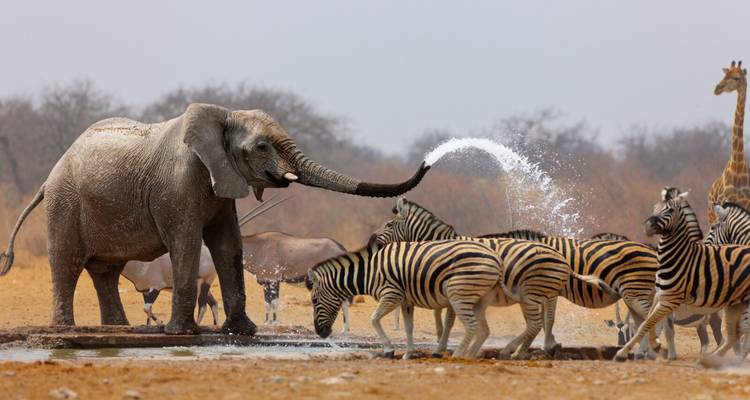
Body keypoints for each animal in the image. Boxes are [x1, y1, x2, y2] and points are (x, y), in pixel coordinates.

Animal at [0, 103, 430, 335]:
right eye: (262, 147)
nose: (428, 160)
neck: (223, 115)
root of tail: (49, 176)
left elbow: (228, 245)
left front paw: (243, 332)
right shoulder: (177, 184)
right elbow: (187, 243)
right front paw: (181, 333)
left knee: (106, 270)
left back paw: (117, 329)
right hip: (65, 203)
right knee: (68, 263)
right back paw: (65, 330)